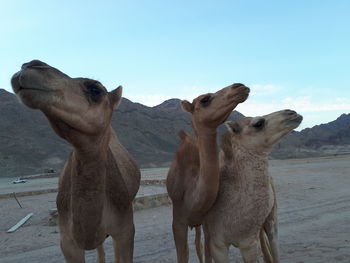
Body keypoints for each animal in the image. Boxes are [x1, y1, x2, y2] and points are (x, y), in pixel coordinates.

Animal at [166, 83, 250, 262]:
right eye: (205, 99)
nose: (240, 86)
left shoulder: (207, 221)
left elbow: (208, 253)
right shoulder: (178, 221)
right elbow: (182, 254)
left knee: (199, 245)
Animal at [204, 110, 302, 263]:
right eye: (258, 123)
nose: (292, 113)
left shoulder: (248, 243)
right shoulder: (217, 243)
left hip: (271, 218)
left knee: (273, 240)